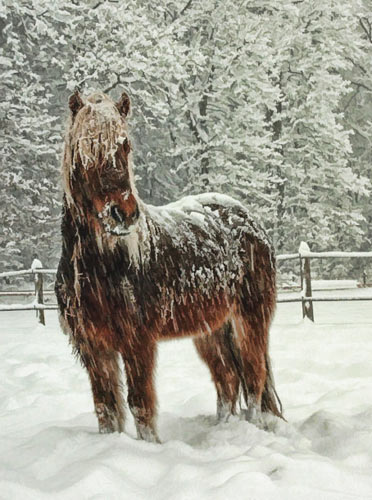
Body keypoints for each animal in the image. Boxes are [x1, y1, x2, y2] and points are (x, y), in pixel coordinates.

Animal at [54, 90, 282, 442]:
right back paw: (224, 429)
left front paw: (150, 446)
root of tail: (247, 217)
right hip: (211, 329)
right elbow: (106, 408)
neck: (101, 267)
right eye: (86, 147)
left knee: (254, 377)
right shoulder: (92, 347)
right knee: (228, 379)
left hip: (249, 320)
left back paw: (253, 430)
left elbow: (140, 405)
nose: (123, 214)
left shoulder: (137, 343)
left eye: (125, 146)